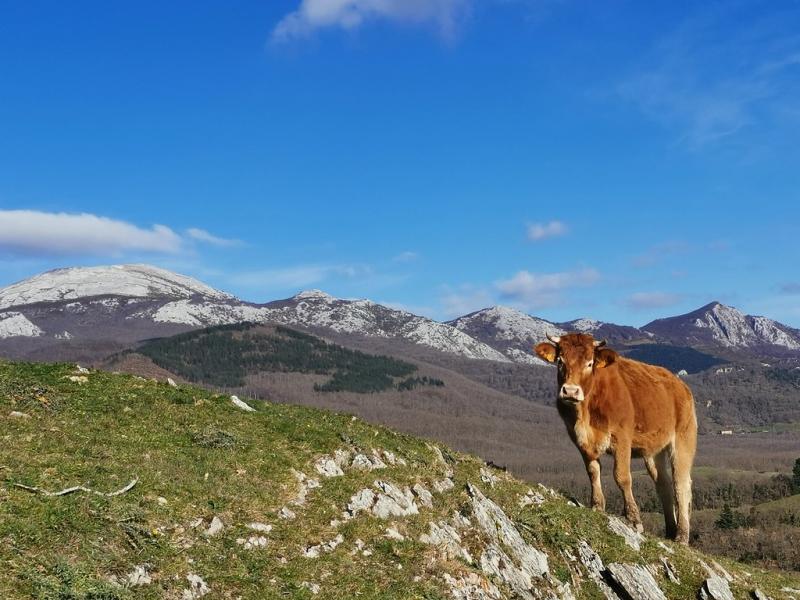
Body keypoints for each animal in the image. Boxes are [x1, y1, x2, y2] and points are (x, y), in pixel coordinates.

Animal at [536, 332, 696, 544]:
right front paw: (597, 505)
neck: (585, 414)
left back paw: (682, 536)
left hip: (683, 440)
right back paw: (670, 530)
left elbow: (622, 477)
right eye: (560, 361)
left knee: (681, 485)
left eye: (589, 363)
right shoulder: (580, 441)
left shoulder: (622, 439)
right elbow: (593, 472)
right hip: (654, 451)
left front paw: (634, 519)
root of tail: (681, 385)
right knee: (663, 484)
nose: (570, 391)